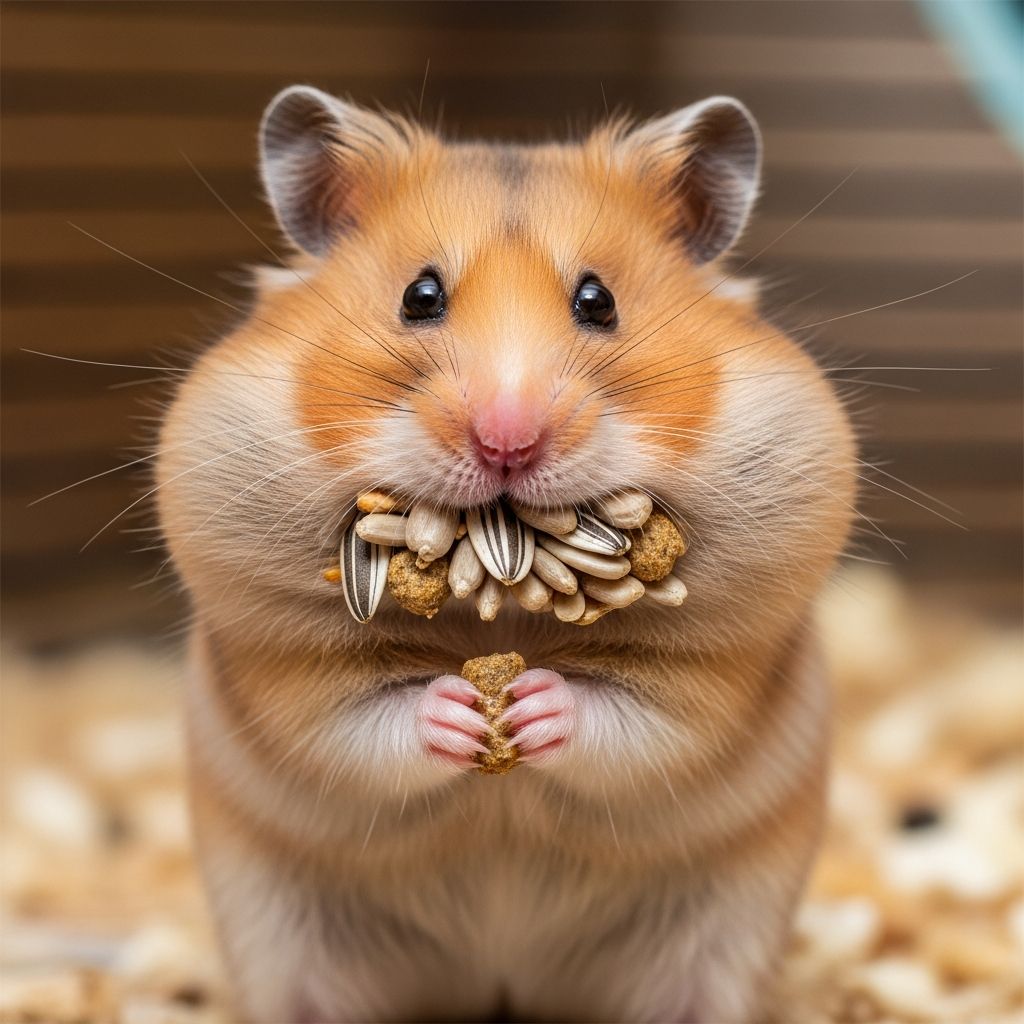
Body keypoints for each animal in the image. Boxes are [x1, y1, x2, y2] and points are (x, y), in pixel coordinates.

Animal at [157, 86, 854, 1023]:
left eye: (598, 301)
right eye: (419, 295)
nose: (507, 441)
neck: (498, 596)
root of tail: (503, 984)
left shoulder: (717, 667)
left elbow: (631, 713)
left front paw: (529, 705)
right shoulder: (284, 661)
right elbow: (362, 718)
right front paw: (462, 710)